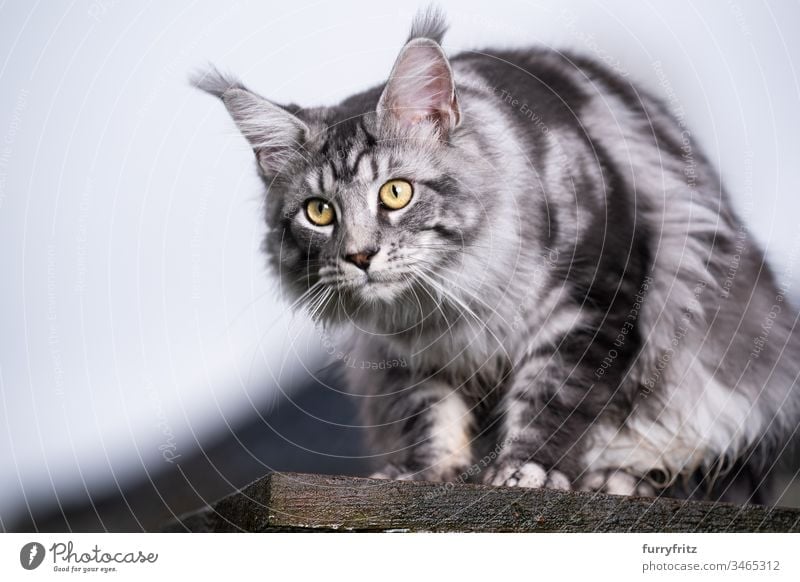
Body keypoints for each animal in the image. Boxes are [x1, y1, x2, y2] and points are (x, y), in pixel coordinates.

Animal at [195, 6, 800, 504]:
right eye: (319, 212)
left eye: (396, 193)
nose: (361, 256)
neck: (448, 306)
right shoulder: (405, 357)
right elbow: (431, 415)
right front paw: (426, 473)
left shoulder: (593, 296)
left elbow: (554, 394)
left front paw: (525, 471)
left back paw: (623, 481)